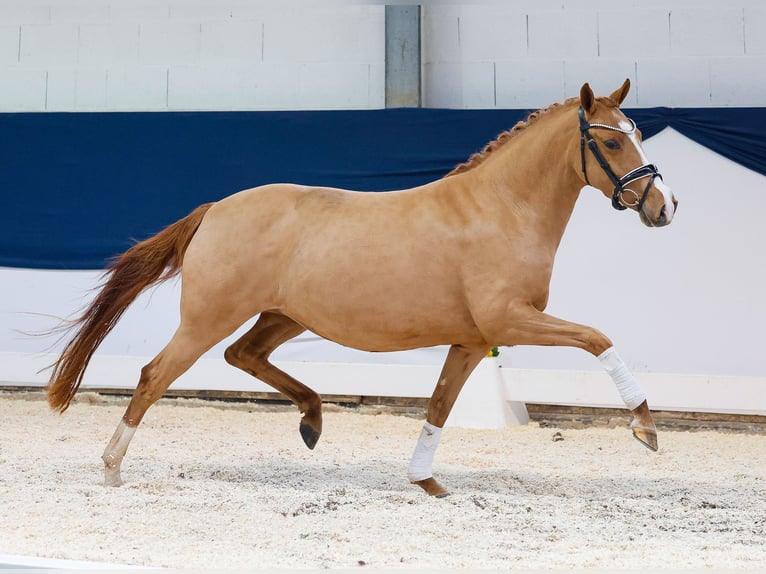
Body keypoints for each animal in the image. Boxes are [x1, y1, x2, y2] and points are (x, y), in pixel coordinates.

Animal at [45, 79, 680, 498]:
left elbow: (440, 405)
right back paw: (111, 467)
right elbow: (598, 339)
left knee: (242, 355)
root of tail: (214, 210)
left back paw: (312, 419)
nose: (665, 206)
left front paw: (426, 481)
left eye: (638, 134)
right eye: (614, 143)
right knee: (156, 374)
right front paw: (645, 427)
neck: (501, 208)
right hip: (209, 317)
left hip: (284, 315)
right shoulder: (508, 321)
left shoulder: (474, 340)